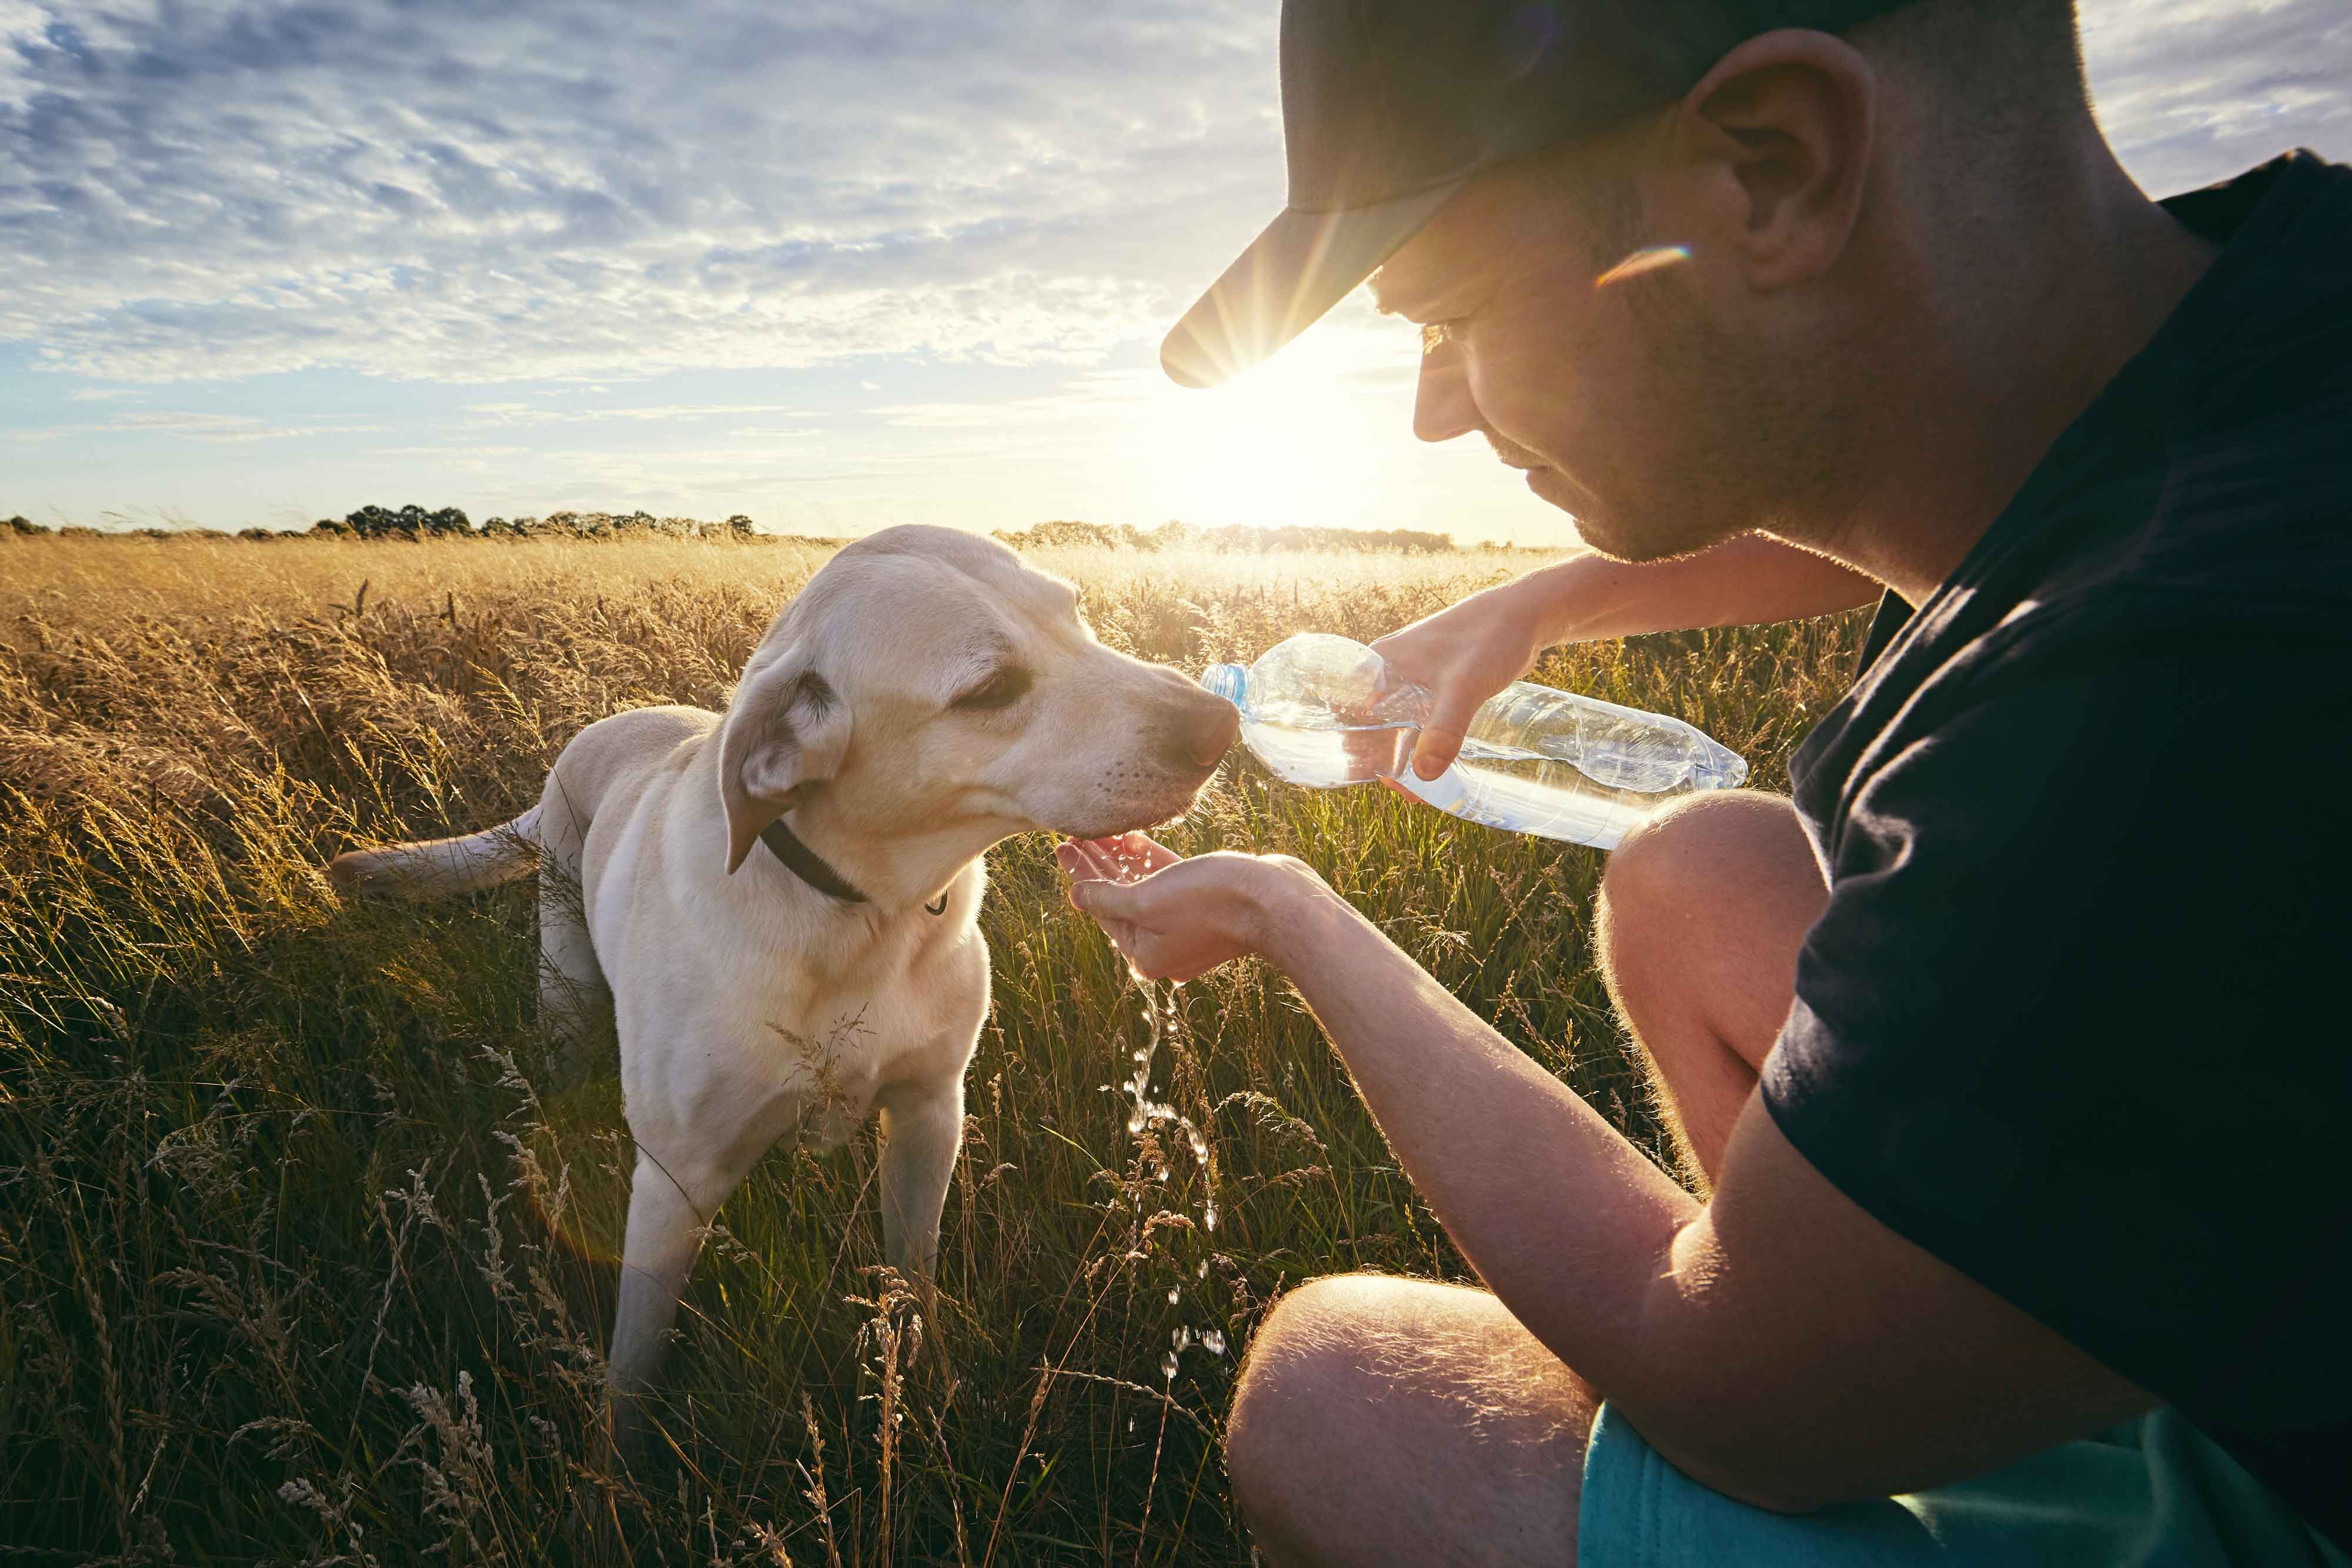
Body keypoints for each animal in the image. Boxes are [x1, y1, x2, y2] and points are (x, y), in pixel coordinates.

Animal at [343, 526, 1251, 1448]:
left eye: (1075, 613)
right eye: (990, 689)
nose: (1223, 724)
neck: (858, 915)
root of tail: (607, 723)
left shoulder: (930, 1110)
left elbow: (915, 1276)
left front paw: (935, 1388)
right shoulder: (675, 1178)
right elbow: (636, 1352)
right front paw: (618, 1467)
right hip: (564, 981)